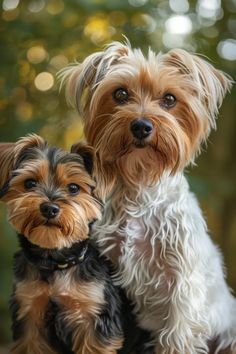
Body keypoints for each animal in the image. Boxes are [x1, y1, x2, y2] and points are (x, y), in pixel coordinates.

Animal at [0, 133, 125, 354]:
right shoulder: (29, 308)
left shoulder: (93, 312)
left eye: (74, 188)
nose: (49, 208)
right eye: (30, 183)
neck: (56, 261)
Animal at [60, 42, 236, 354]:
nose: (141, 126)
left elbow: (177, 337)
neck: (141, 185)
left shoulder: (183, 287)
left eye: (169, 99)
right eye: (120, 94)